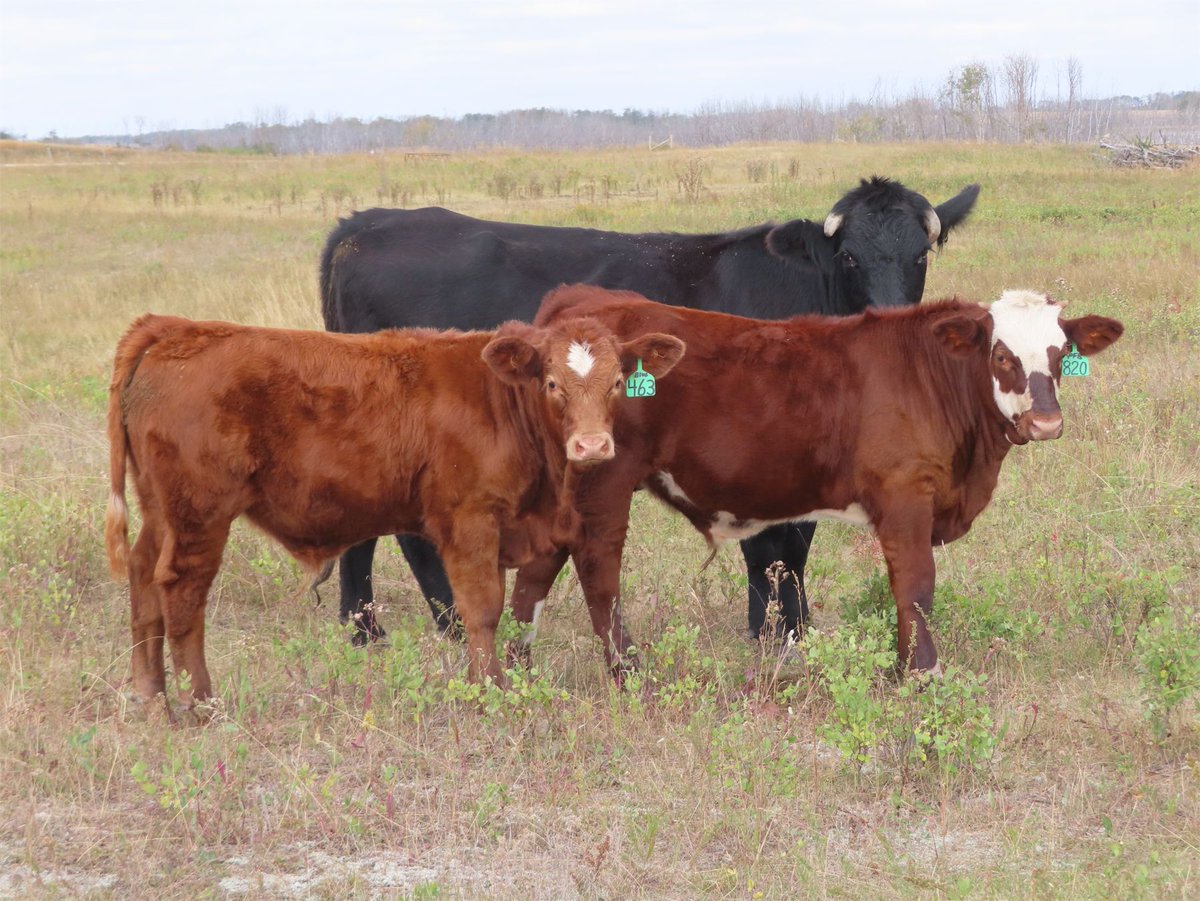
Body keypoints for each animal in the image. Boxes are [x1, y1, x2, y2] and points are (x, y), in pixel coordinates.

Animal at [104, 312, 685, 705]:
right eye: (552, 383)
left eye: (617, 382)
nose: (592, 446)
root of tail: (174, 328)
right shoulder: (471, 520)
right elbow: (482, 609)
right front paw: (488, 691)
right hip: (198, 513)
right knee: (181, 591)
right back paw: (198, 703)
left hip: (160, 510)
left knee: (143, 577)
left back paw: (151, 696)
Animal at [321, 176, 981, 643]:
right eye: (848, 257)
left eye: (921, 254)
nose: (891, 318)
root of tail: (366, 225)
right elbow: (773, 548)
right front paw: (778, 634)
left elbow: (794, 545)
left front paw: (789, 629)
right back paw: (405, 628)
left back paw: (375, 625)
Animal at [507, 285, 1123, 676]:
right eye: (1000, 355)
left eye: (1061, 353)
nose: (1046, 423)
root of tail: (580, 304)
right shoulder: (905, 494)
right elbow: (916, 584)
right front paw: (922, 672)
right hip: (603, 479)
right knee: (598, 571)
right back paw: (628, 672)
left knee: (540, 569)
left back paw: (516, 669)